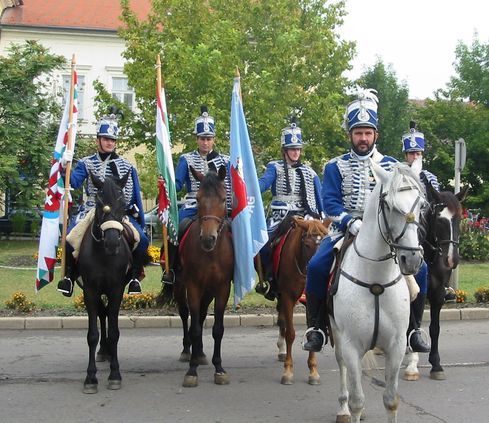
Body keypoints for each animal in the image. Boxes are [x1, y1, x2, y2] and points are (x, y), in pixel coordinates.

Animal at [76, 171, 133, 394]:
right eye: (101, 205)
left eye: (123, 205)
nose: (112, 242)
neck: (103, 255)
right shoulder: (90, 290)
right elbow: (92, 334)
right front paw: (90, 378)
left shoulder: (117, 289)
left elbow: (115, 331)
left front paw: (115, 374)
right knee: (102, 314)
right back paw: (103, 350)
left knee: (107, 314)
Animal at [272, 217, 330, 386]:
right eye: (307, 244)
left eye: (326, 243)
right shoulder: (287, 296)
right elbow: (290, 333)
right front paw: (288, 371)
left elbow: (312, 331)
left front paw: (313, 372)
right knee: (283, 321)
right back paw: (282, 350)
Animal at [330, 160, 426, 423]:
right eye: (389, 205)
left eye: (422, 204)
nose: (412, 259)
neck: (376, 281)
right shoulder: (351, 345)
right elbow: (357, 400)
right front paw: (350, 408)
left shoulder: (396, 346)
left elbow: (391, 400)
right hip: (337, 335)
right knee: (341, 366)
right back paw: (341, 408)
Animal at [402, 184, 468, 382]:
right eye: (439, 219)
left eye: (459, 218)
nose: (452, 259)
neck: (430, 258)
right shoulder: (413, 292)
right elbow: (413, 324)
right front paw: (412, 363)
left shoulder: (438, 293)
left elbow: (434, 328)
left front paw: (436, 364)